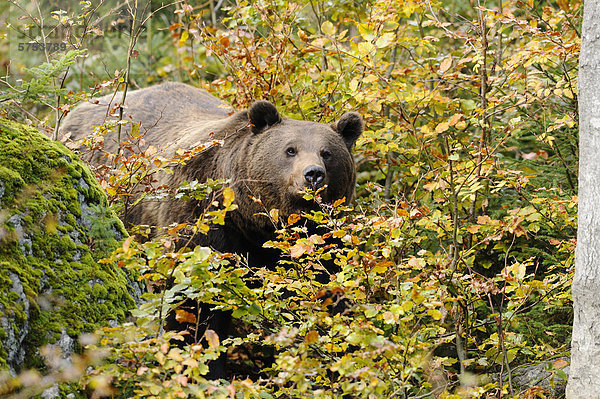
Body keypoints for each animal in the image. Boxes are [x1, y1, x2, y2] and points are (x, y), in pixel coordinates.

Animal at [61, 82, 364, 378]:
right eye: (290, 149)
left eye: (327, 153)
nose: (313, 174)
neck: (254, 222)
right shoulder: (202, 218)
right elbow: (197, 302)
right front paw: (207, 369)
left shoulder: (318, 242)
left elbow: (326, 293)